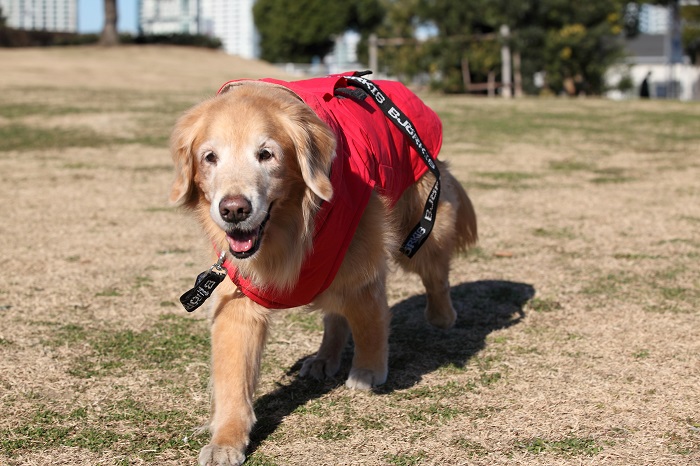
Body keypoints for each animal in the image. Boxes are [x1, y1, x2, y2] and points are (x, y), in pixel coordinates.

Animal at [170, 74, 476, 464]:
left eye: (266, 154)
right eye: (210, 157)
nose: (234, 209)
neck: (289, 231)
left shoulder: (361, 265)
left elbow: (370, 320)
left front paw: (368, 370)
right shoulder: (237, 296)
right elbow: (232, 377)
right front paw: (227, 439)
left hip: (419, 227)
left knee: (435, 273)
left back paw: (442, 316)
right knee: (335, 313)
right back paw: (324, 358)